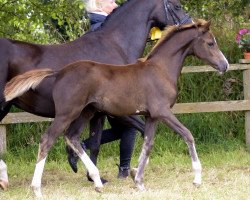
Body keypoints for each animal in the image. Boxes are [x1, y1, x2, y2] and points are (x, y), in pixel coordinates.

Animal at [3, 20, 229, 197]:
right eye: (210, 43)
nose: (225, 65)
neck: (160, 69)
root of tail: (59, 73)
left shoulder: (151, 116)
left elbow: (148, 144)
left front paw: (139, 182)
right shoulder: (163, 112)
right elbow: (188, 135)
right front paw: (197, 179)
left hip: (86, 112)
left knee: (72, 137)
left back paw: (97, 182)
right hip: (68, 113)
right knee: (47, 140)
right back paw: (37, 188)